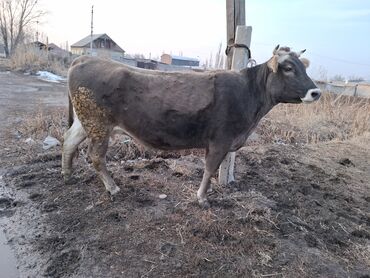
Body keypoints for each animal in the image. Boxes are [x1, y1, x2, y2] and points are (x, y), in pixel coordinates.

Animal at [62, 45, 320, 206]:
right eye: (288, 68)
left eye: (304, 67)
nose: (316, 92)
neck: (249, 94)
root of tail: (85, 58)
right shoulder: (220, 141)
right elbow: (210, 169)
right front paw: (202, 198)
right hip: (98, 124)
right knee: (95, 156)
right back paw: (112, 187)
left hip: (86, 122)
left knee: (68, 142)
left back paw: (67, 174)